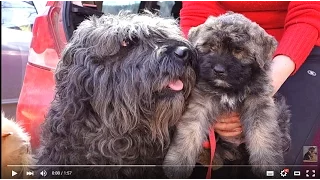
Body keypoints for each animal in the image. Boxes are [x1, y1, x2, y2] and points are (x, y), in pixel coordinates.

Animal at [164, 12, 292, 179]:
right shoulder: (200, 103)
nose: (218, 70)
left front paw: (268, 166)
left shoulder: (258, 104)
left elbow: (263, 136)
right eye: (211, 46)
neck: (229, 89)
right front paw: (176, 165)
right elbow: (189, 132)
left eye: (238, 50)